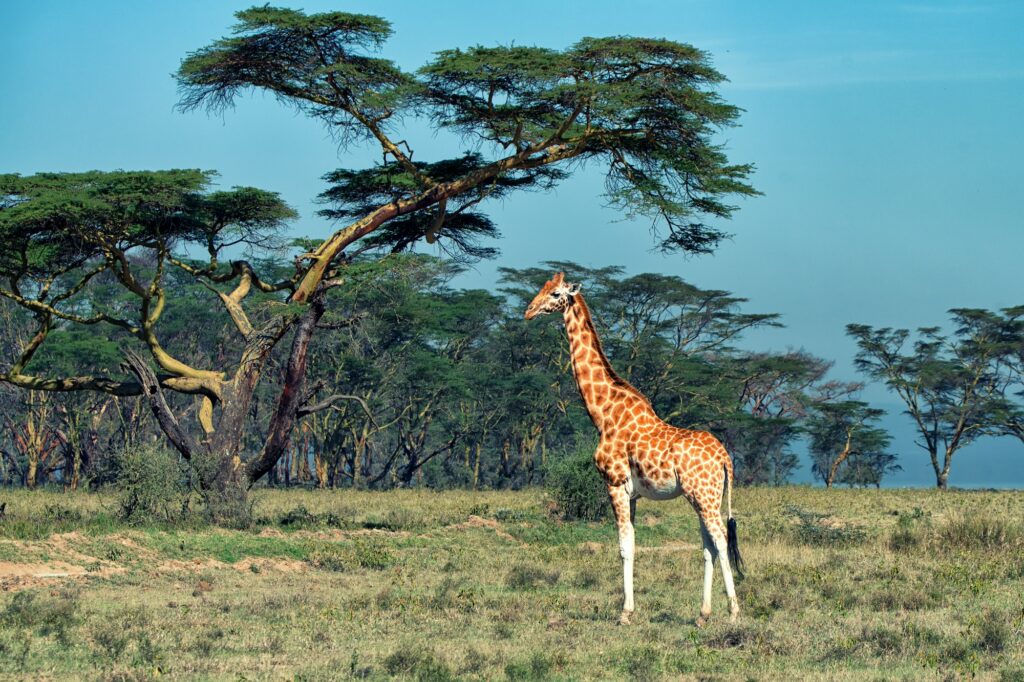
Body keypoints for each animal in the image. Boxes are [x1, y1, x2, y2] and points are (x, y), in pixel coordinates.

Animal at [525, 272, 743, 626]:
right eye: (541, 288)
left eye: (555, 293)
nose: (528, 312)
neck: (603, 412)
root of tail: (725, 458)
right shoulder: (633, 493)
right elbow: (633, 543)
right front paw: (630, 608)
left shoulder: (614, 483)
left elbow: (624, 545)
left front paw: (625, 613)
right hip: (703, 497)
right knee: (708, 545)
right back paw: (703, 613)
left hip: (704, 495)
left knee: (721, 541)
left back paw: (734, 611)